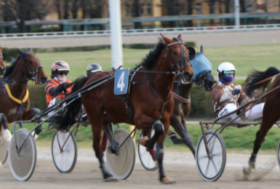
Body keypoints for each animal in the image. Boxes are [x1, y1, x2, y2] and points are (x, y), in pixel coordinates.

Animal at [59, 34, 195, 183]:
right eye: (175, 52)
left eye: (187, 52)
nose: (188, 73)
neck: (155, 87)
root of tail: (88, 81)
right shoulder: (140, 119)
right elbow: (157, 127)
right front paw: (146, 142)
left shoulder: (167, 119)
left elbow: (160, 148)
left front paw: (163, 176)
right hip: (94, 115)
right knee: (96, 146)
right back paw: (107, 174)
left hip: (112, 113)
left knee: (106, 123)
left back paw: (114, 146)